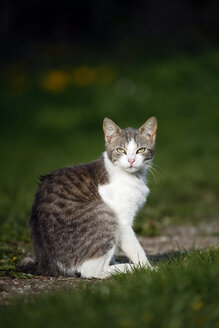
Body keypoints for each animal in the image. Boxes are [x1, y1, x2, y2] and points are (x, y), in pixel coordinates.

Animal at [19, 116, 157, 278]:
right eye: (120, 150)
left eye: (140, 150)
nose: (131, 160)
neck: (133, 177)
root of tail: (45, 265)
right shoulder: (122, 221)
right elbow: (136, 249)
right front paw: (149, 269)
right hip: (104, 214)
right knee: (92, 271)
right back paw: (129, 268)